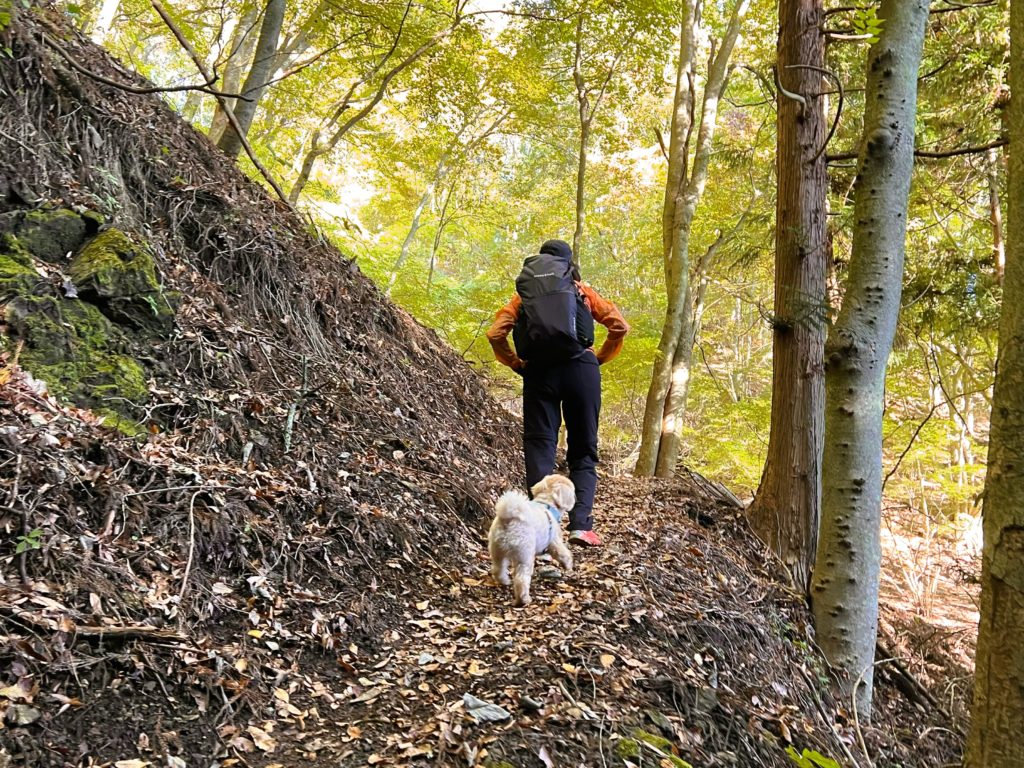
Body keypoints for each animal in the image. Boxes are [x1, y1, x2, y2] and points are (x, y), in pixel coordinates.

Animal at [488, 474, 575, 607]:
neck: (547, 503)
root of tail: (509, 519)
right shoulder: (555, 542)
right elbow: (563, 554)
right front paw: (568, 565)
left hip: (497, 549)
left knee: (498, 568)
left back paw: (504, 581)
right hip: (524, 555)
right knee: (521, 579)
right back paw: (523, 599)